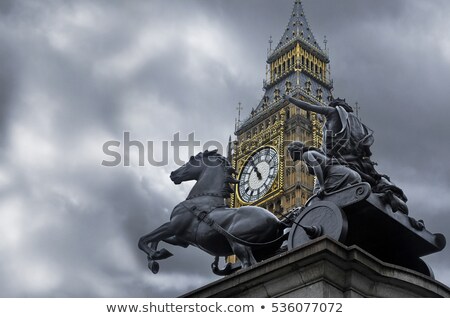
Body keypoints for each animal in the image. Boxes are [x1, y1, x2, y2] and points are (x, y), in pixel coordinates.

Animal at [138, 149, 284, 274]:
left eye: (191, 159)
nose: (173, 174)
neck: (202, 198)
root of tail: (277, 221)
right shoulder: (181, 238)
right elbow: (156, 239)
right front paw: (156, 257)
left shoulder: (173, 226)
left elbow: (144, 238)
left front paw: (154, 255)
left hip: (238, 242)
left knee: (247, 263)